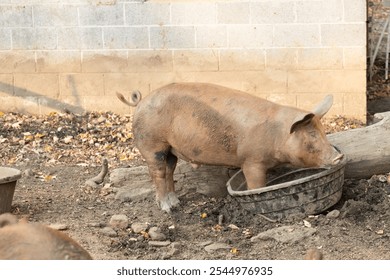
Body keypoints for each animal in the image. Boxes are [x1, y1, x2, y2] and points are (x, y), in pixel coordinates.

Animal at [117, 83, 342, 212]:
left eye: (323, 132)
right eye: (311, 135)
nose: (338, 157)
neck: (277, 134)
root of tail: (141, 102)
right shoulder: (252, 160)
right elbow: (257, 186)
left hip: (171, 149)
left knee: (169, 170)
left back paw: (176, 203)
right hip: (153, 144)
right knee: (158, 173)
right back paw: (167, 209)